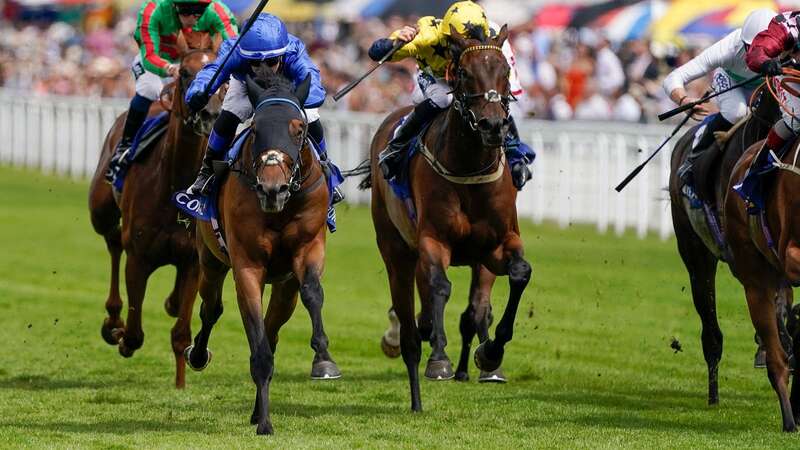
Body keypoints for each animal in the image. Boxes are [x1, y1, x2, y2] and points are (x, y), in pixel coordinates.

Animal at [88, 48, 219, 386]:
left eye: (221, 74)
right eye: (184, 72)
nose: (209, 113)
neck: (174, 182)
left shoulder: (193, 261)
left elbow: (181, 334)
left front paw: (181, 385)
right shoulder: (138, 257)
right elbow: (134, 333)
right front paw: (120, 334)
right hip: (100, 210)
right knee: (112, 241)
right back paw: (112, 320)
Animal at [184, 74, 338, 436]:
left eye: (299, 129)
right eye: (255, 129)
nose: (272, 189)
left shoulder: (308, 251)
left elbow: (313, 292)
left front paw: (323, 358)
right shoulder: (247, 267)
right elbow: (257, 343)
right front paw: (266, 423)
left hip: (283, 288)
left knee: (273, 329)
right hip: (210, 260)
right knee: (212, 309)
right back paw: (199, 355)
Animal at [364, 25, 528, 412]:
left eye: (505, 71)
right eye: (465, 73)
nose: (493, 125)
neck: (468, 167)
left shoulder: (497, 245)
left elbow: (516, 276)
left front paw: (491, 354)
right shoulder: (433, 240)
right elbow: (440, 288)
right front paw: (439, 359)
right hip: (396, 244)